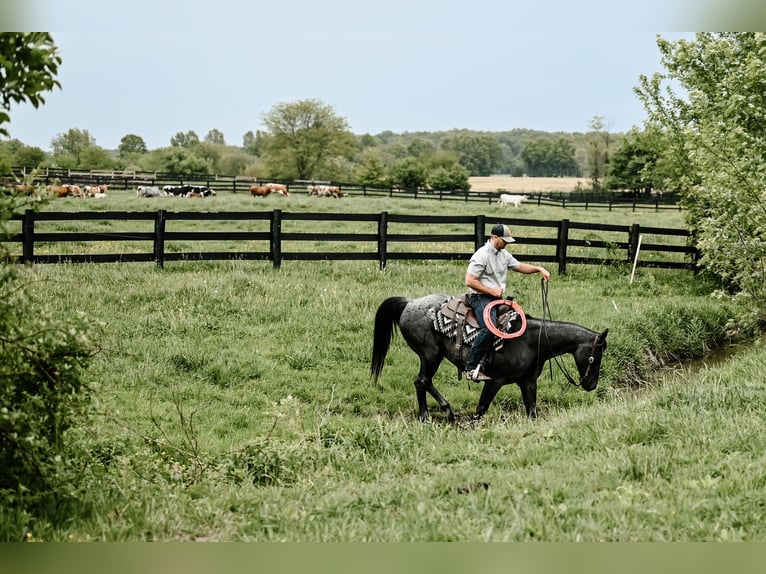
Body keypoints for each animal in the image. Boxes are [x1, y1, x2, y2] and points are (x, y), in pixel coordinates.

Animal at [372, 296, 612, 424]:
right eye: (596, 356)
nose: (591, 385)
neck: (532, 340)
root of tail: (409, 303)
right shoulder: (494, 381)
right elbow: (480, 410)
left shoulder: (528, 382)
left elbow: (532, 411)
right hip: (430, 355)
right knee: (422, 381)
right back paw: (431, 414)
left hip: (431, 356)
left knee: (423, 381)